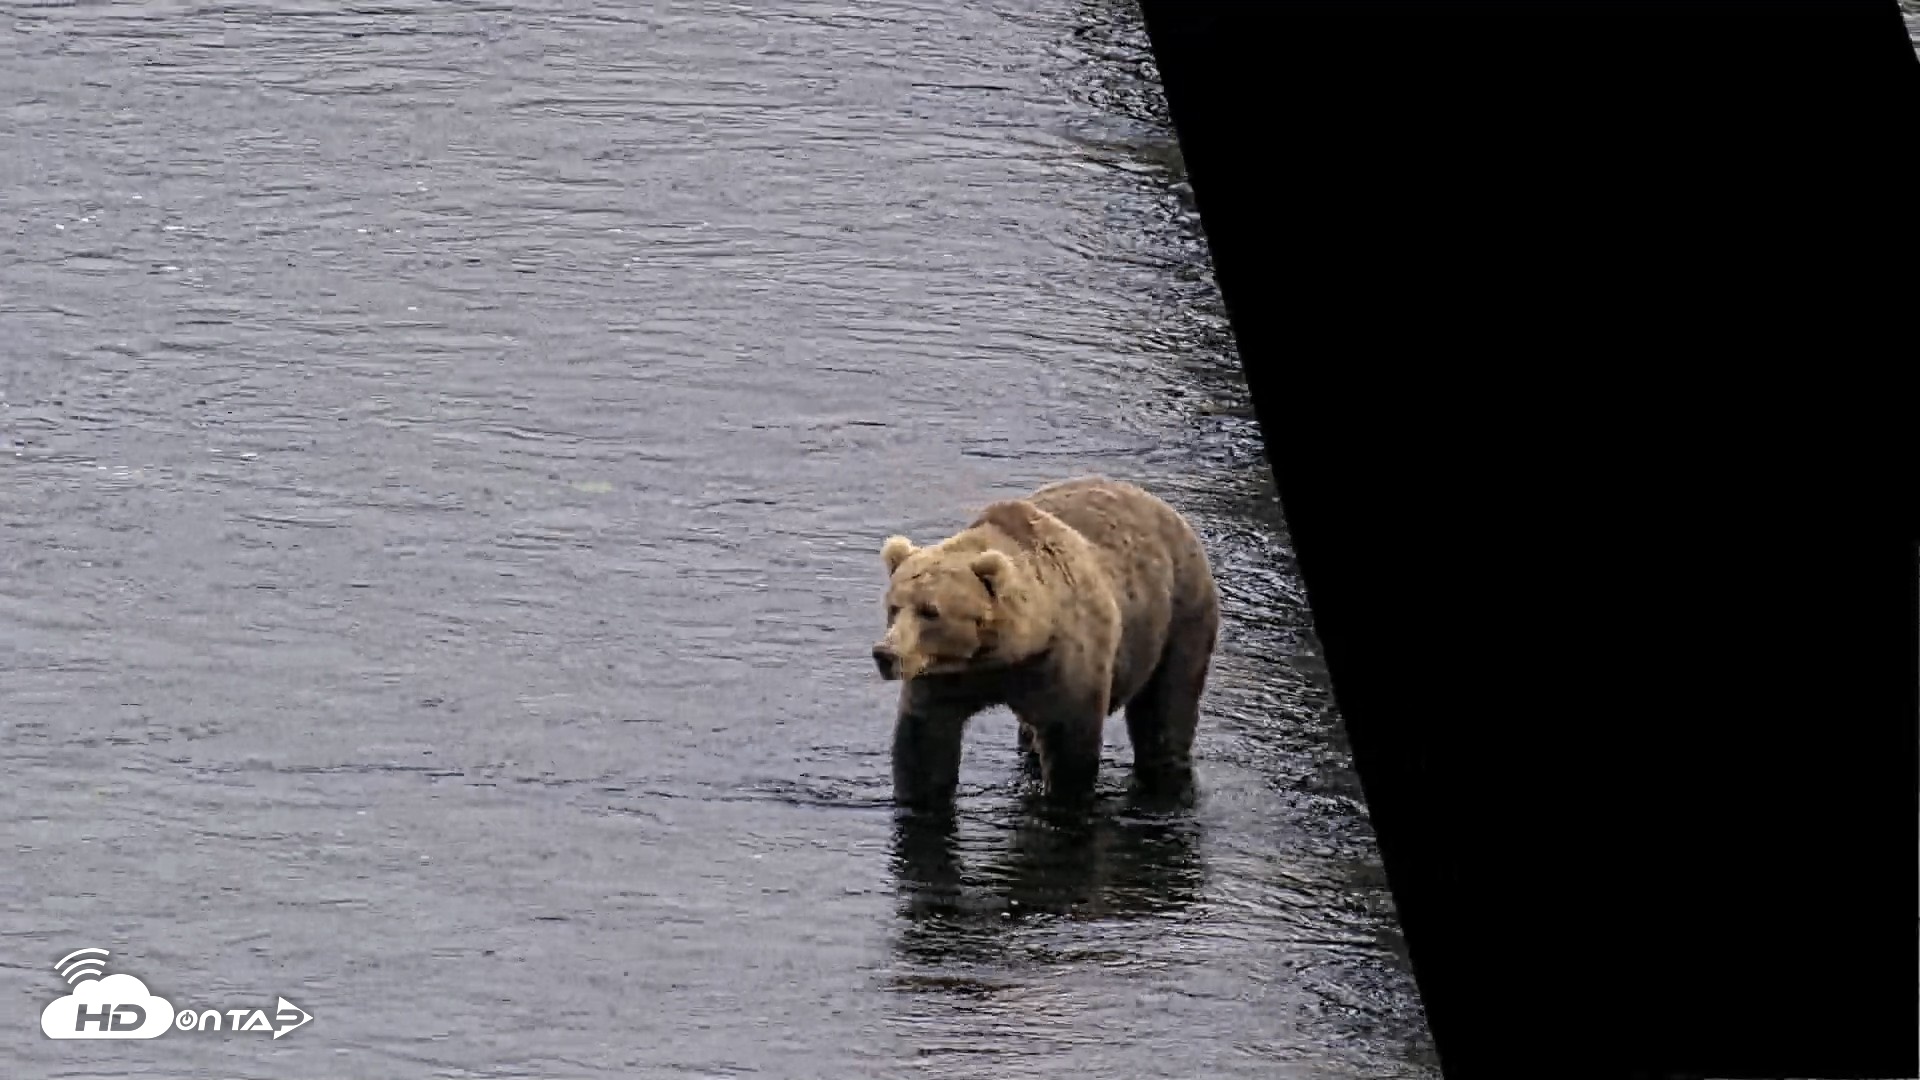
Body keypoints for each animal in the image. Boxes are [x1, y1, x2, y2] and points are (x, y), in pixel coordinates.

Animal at [871, 475, 1221, 807]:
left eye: (931, 611)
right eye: (894, 606)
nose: (885, 653)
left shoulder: (1065, 662)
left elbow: (1070, 745)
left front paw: (1064, 796)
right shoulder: (946, 675)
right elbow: (925, 742)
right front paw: (918, 796)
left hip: (1179, 612)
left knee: (1167, 702)